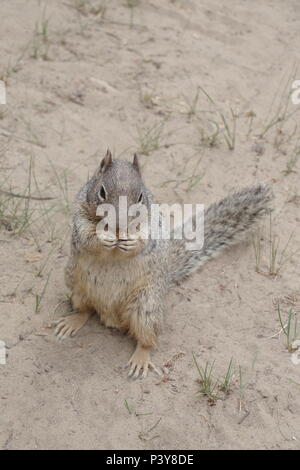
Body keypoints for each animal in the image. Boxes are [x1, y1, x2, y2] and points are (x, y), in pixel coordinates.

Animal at [53, 150, 272, 378]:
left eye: (141, 197)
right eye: (101, 192)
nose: (120, 226)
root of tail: (110, 317)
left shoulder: (152, 224)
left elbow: (145, 240)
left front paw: (131, 241)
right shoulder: (79, 215)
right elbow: (86, 235)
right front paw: (103, 237)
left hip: (146, 308)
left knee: (148, 339)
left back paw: (141, 358)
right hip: (76, 287)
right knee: (86, 310)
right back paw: (72, 322)